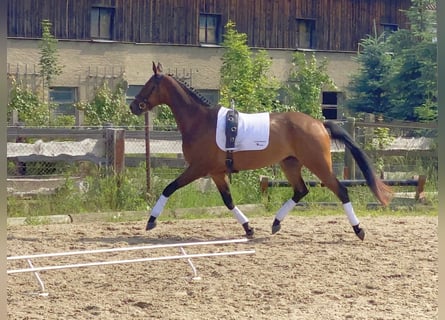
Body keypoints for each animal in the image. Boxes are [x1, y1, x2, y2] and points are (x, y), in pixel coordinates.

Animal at [130, 62, 390, 240]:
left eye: (149, 85)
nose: (133, 106)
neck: (200, 121)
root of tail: (318, 123)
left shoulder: (198, 168)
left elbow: (169, 187)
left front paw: (151, 221)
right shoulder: (216, 172)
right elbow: (228, 201)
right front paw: (249, 228)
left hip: (318, 164)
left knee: (341, 191)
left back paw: (359, 230)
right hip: (290, 163)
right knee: (301, 190)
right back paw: (275, 223)